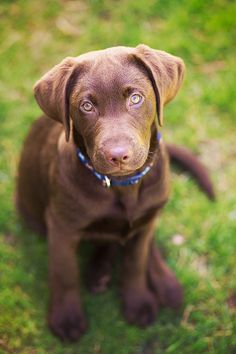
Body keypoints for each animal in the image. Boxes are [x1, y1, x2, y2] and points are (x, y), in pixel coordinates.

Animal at [16, 44, 210, 340]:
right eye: (86, 106)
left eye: (136, 99)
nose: (118, 155)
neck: (122, 185)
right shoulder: (62, 227)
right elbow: (64, 273)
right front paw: (67, 318)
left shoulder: (143, 223)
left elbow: (135, 262)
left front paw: (138, 302)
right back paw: (100, 273)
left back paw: (165, 283)